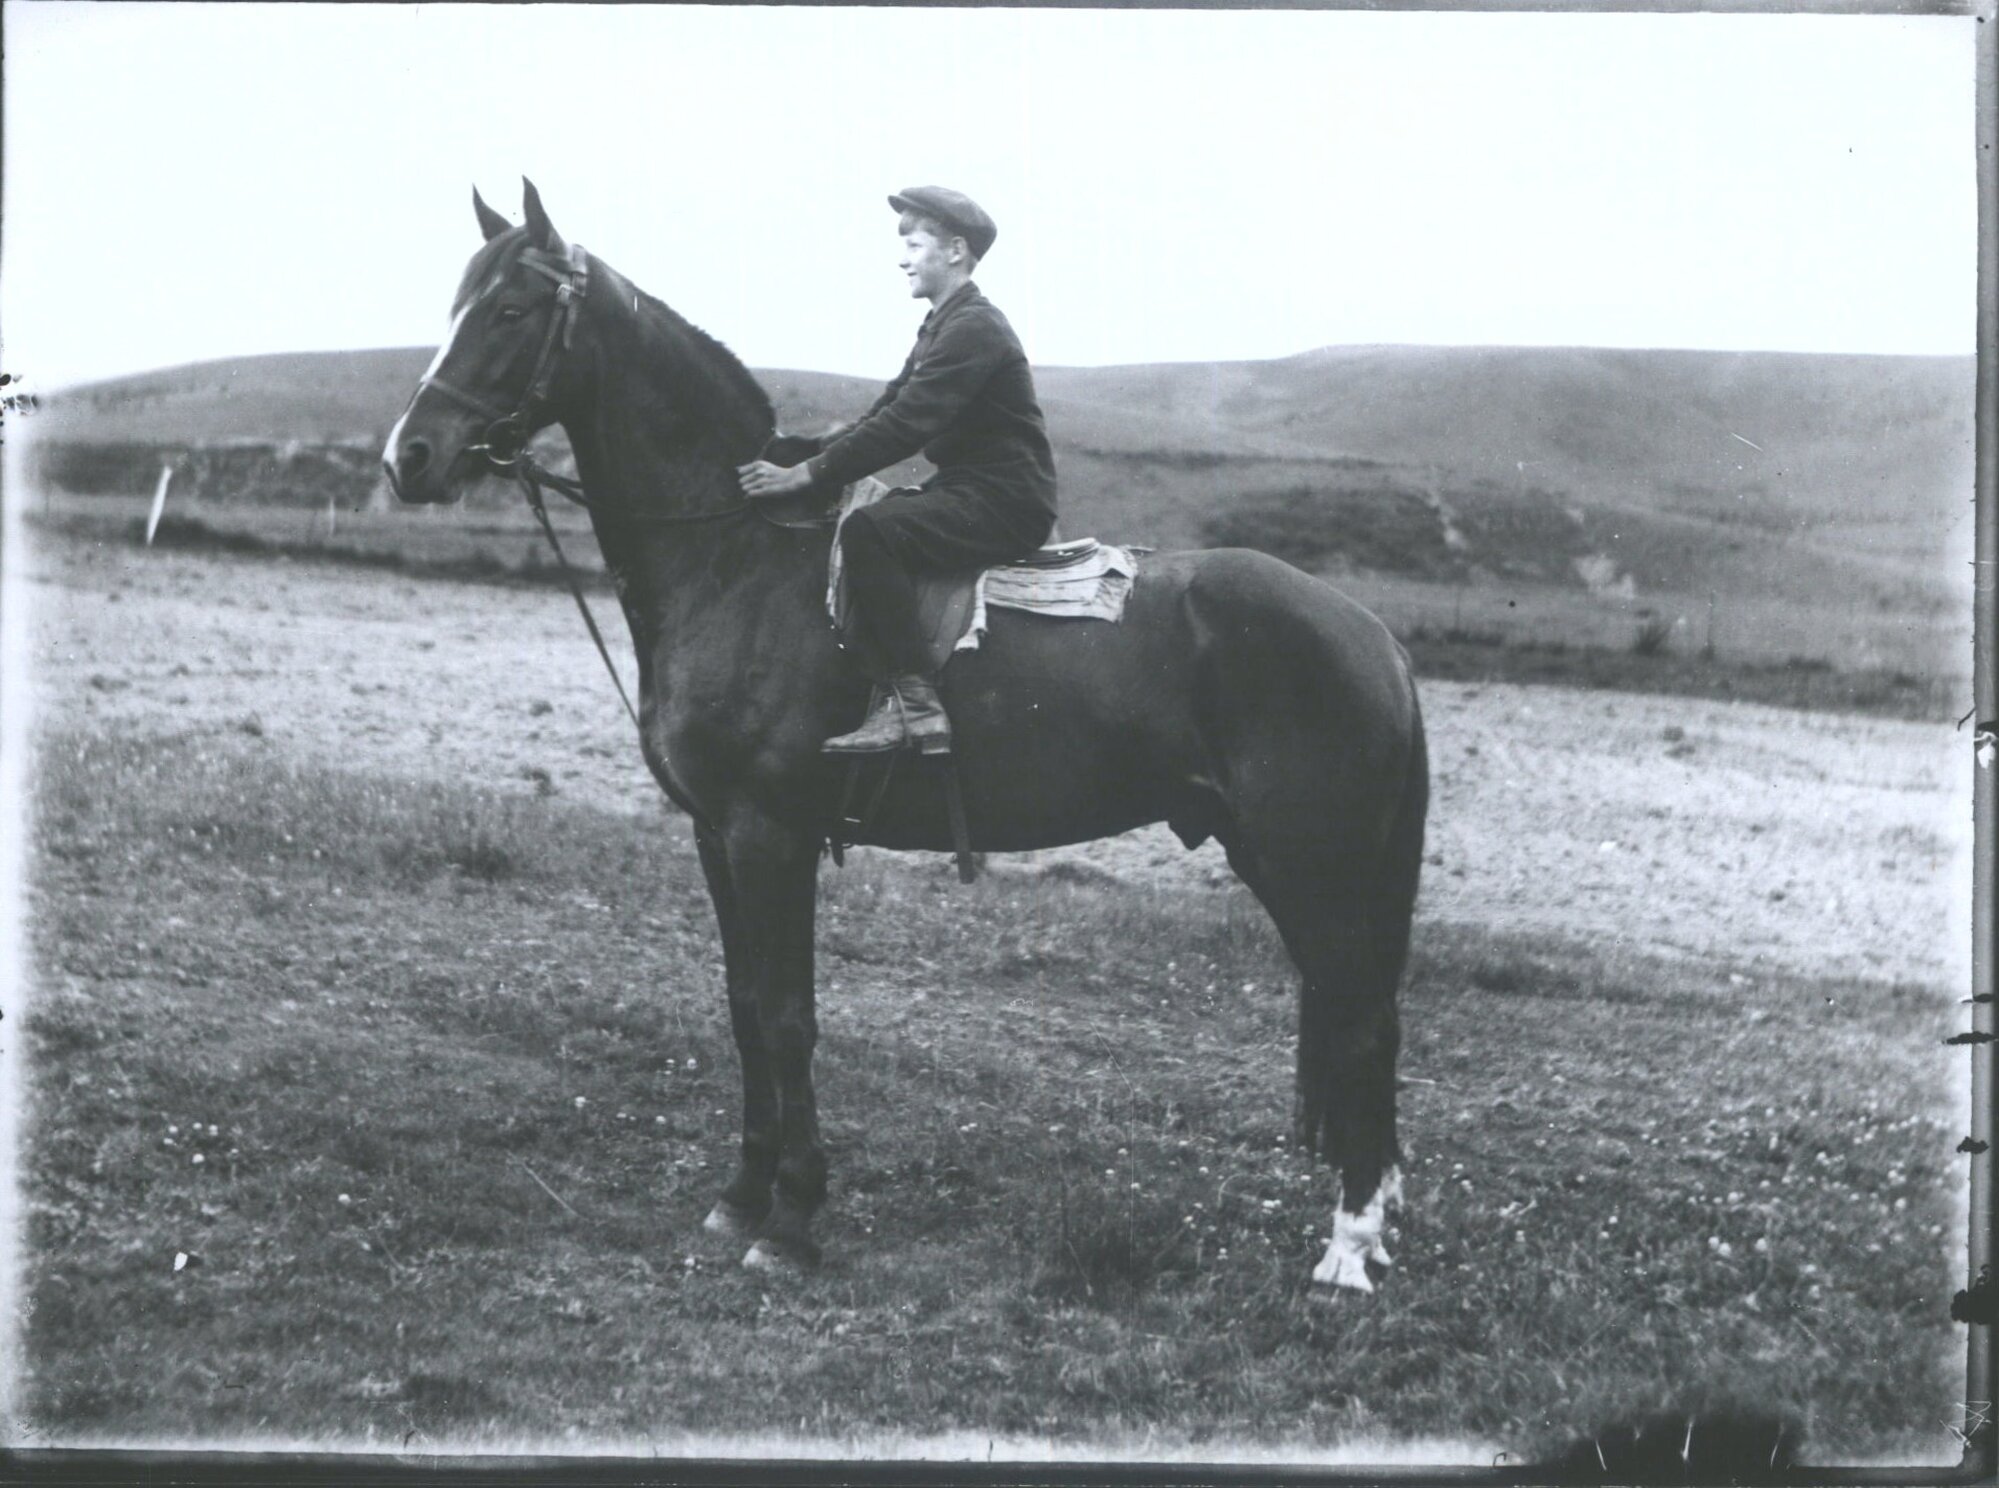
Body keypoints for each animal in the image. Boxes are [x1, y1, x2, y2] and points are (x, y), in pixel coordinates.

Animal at [382, 182, 1429, 1294]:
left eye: (510, 310)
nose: (408, 458)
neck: (735, 559)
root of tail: (1370, 634)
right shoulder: (715, 835)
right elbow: (744, 1006)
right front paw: (739, 1195)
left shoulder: (769, 834)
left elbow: (788, 1017)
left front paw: (792, 1219)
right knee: (1366, 1019)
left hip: (1309, 865)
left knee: (1362, 1023)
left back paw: (1348, 1249)